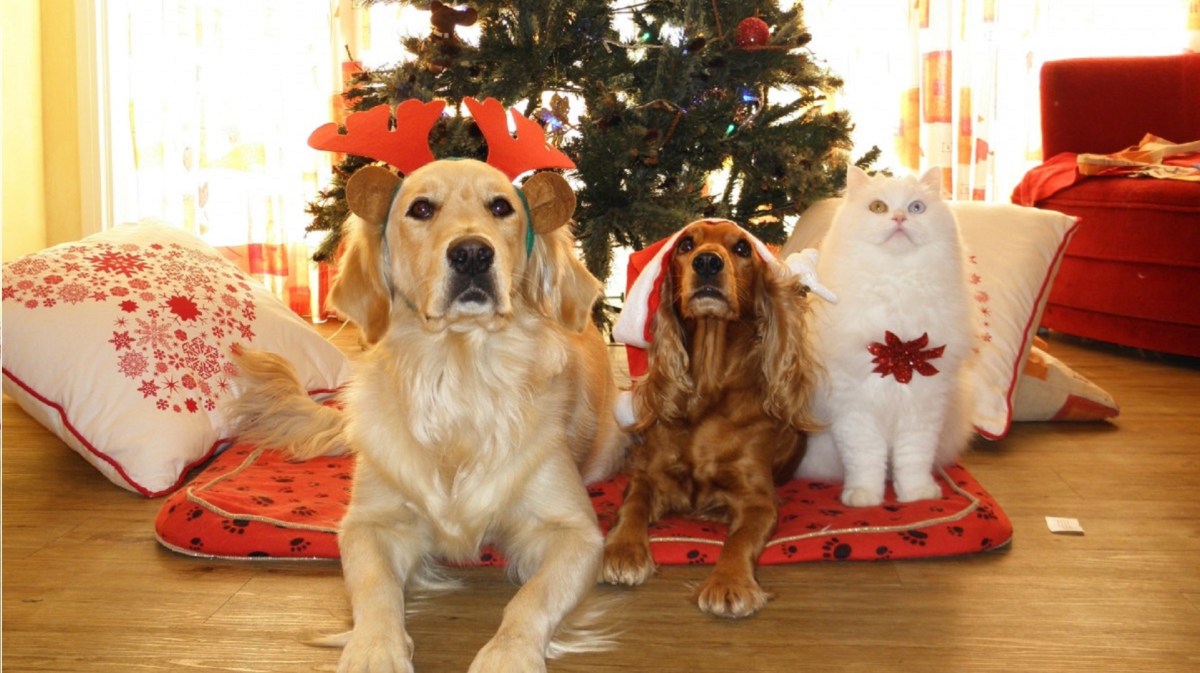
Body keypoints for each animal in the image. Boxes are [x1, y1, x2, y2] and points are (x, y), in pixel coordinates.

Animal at [796, 166, 974, 503]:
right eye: (878, 207)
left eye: (916, 207)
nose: (900, 218)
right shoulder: (855, 407)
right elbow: (866, 460)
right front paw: (864, 497)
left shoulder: (923, 408)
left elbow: (912, 460)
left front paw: (917, 496)